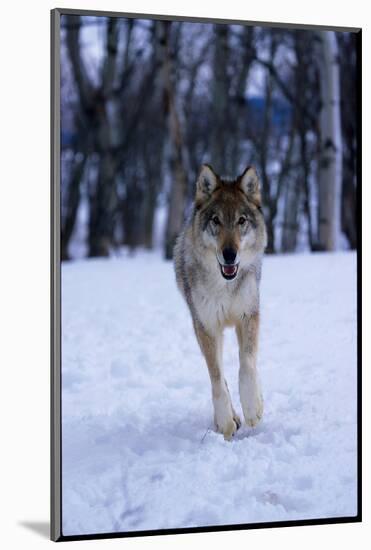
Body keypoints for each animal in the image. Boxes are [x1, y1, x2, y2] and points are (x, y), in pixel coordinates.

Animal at [174, 166, 268, 442]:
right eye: (216, 220)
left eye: (241, 221)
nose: (229, 254)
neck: (225, 286)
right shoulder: (206, 326)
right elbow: (216, 377)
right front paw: (226, 421)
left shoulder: (248, 315)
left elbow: (247, 364)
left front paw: (253, 407)